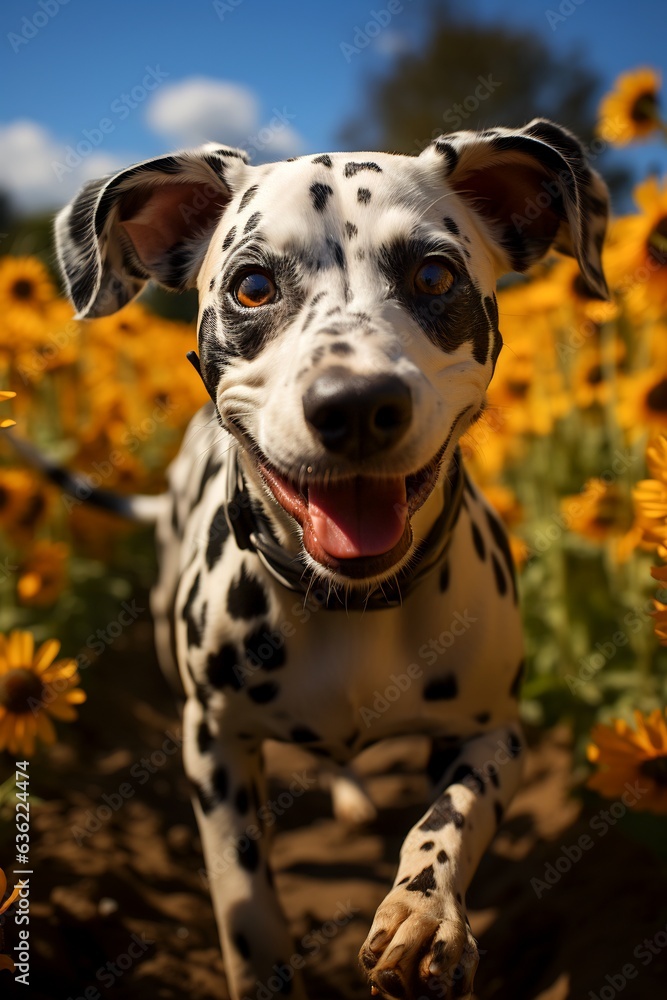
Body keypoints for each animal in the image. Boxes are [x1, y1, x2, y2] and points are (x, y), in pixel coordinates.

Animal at [52, 123, 608, 1000]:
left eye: (433, 274)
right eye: (251, 286)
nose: (355, 404)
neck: (351, 604)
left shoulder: (495, 734)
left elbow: (449, 821)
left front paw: (423, 914)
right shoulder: (212, 746)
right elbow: (244, 898)